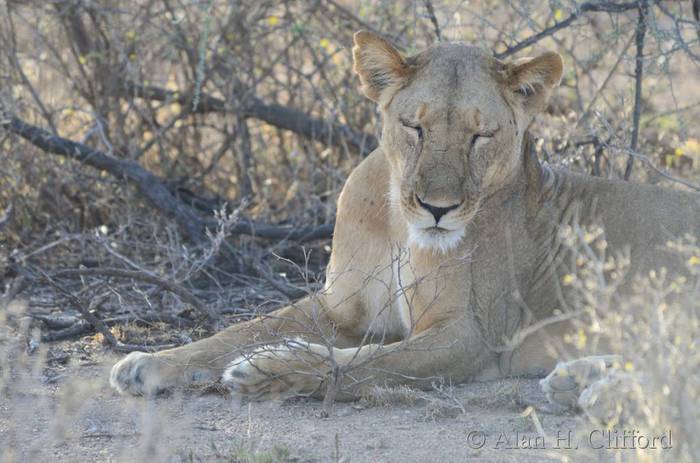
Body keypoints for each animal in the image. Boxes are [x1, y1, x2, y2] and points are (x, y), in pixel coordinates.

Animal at [110, 31, 700, 411]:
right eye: (415, 127)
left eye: (480, 136)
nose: (438, 207)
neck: (400, 226)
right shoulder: (341, 305)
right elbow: (238, 330)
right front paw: (147, 363)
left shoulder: (469, 336)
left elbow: (362, 363)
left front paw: (268, 370)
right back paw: (578, 382)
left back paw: (600, 395)